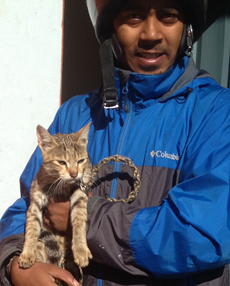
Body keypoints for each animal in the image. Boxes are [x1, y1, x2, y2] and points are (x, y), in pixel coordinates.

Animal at [18, 123, 93, 284]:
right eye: (61, 162)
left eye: (80, 161)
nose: (74, 174)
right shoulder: (35, 201)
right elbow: (31, 228)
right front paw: (27, 253)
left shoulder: (80, 193)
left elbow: (79, 221)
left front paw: (81, 249)